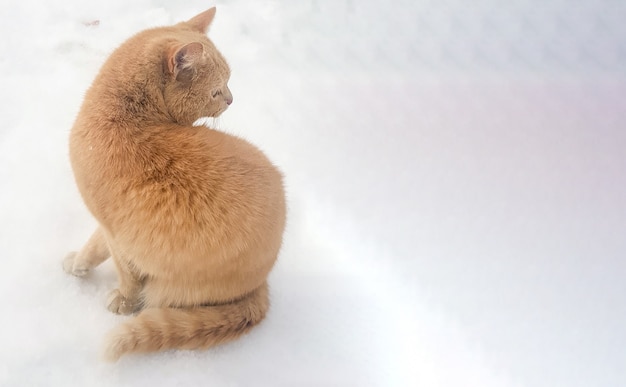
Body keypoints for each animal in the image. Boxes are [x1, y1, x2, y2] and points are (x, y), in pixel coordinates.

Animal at [61, 7, 286, 362]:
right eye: (217, 90)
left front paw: (121, 301)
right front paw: (78, 267)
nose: (231, 100)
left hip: (171, 285)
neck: (127, 117)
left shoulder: (119, 237)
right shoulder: (109, 228)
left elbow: (122, 274)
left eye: (225, 86)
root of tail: (260, 284)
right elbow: (93, 247)